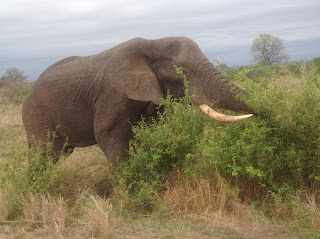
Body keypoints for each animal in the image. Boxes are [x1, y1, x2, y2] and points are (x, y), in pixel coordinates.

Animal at [21, 37, 252, 166]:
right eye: (182, 71)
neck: (154, 43)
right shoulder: (114, 93)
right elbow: (108, 135)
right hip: (37, 116)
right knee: (44, 156)